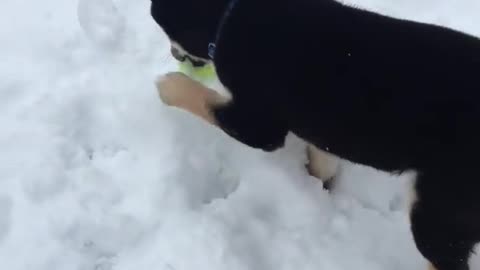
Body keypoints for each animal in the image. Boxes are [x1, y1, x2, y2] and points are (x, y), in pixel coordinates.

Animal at [151, 1, 480, 268]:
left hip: (438, 212)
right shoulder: (323, 131)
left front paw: (167, 85)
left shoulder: (259, 124)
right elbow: (323, 161)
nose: (171, 52)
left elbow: (201, 98)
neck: (231, 15)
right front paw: (315, 185)